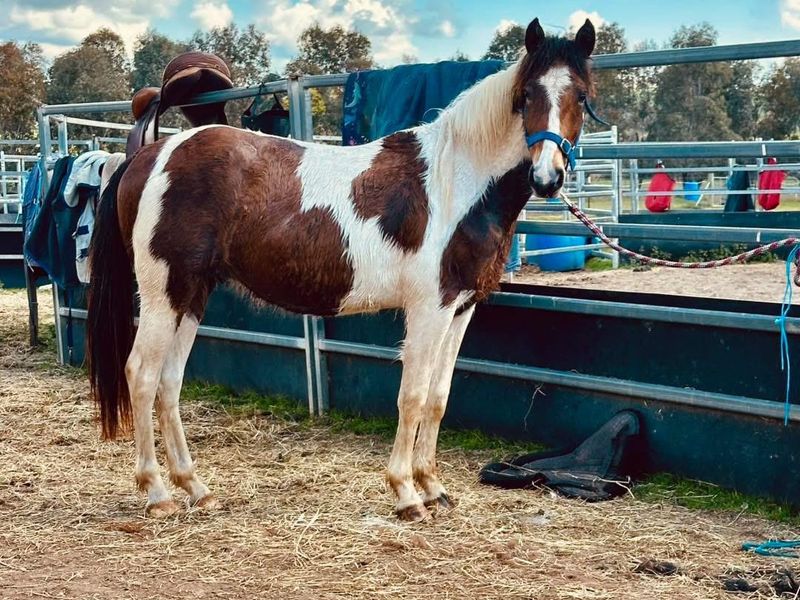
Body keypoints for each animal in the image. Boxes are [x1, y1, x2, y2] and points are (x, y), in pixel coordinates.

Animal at [86, 17, 596, 522]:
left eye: (580, 95)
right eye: (526, 94)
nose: (547, 178)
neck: (456, 182)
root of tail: (148, 157)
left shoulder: (461, 307)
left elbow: (438, 397)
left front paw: (433, 487)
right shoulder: (429, 308)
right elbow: (411, 396)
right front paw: (406, 494)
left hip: (191, 295)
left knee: (169, 382)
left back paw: (196, 487)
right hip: (163, 294)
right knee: (141, 375)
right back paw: (157, 492)